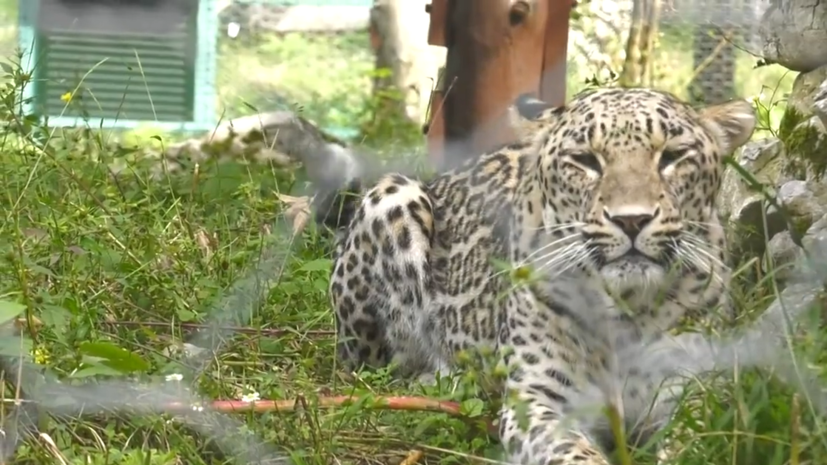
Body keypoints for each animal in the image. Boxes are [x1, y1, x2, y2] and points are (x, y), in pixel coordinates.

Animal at [316, 85, 756, 462]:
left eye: (672, 156)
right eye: (585, 160)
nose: (632, 220)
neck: (625, 312)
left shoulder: (696, 393)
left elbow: (698, 444)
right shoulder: (538, 401)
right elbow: (572, 454)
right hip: (391, 198)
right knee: (380, 366)